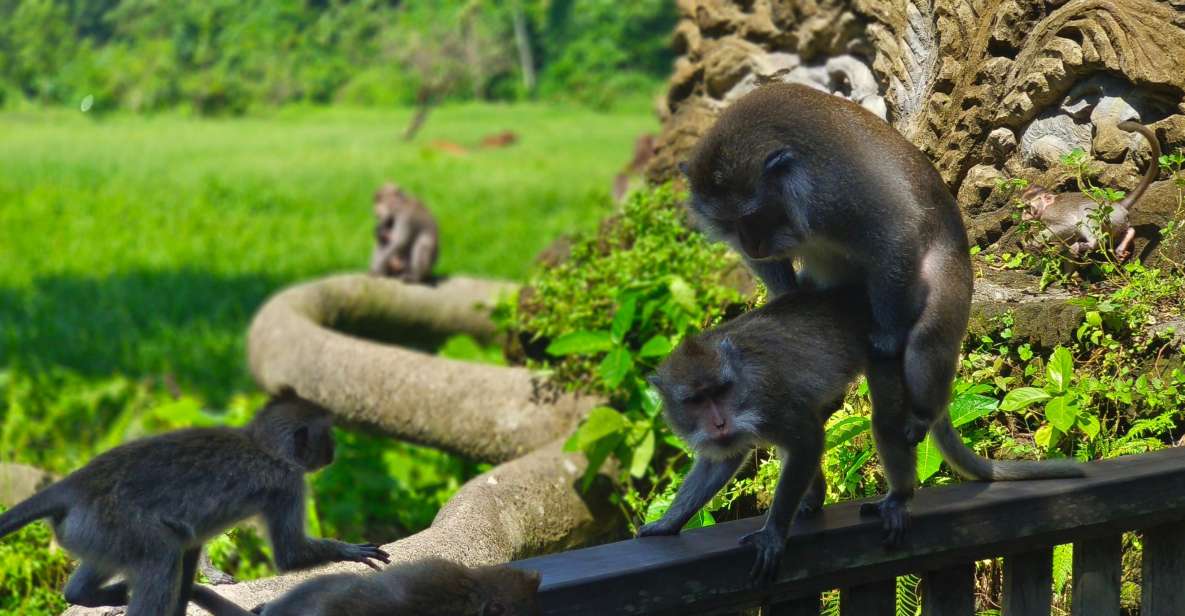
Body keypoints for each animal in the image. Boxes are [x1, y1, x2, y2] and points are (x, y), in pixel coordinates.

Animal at [0, 390, 388, 616]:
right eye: (327, 436)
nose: (333, 451)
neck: (260, 443)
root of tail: (76, 483)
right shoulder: (288, 483)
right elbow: (289, 554)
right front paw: (348, 550)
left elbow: (191, 546)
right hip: (112, 522)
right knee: (161, 554)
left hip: (91, 531)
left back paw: (86, 594)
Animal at [639, 286, 1085, 580]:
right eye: (696, 400)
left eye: (721, 391)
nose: (719, 423)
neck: (742, 384)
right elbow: (724, 459)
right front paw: (667, 523)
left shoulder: (770, 399)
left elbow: (805, 438)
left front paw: (773, 533)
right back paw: (815, 498)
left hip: (890, 356)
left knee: (884, 423)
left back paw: (898, 496)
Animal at [687, 82, 971, 476]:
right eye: (729, 223)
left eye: (753, 217)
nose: (751, 244)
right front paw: (783, 297)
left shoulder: (834, 190)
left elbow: (894, 231)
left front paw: (888, 336)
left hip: (945, 277)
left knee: (926, 338)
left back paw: (922, 413)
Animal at [1019, 120, 1156, 261]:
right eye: (1023, 208)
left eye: (1028, 207)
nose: (1023, 216)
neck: (1047, 205)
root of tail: (1118, 205)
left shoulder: (1052, 213)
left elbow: (1067, 225)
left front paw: (1036, 241)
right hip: (1118, 221)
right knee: (1125, 230)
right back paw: (1124, 242)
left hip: (1109, 216)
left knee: (1087, 216)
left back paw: (1090, 243)